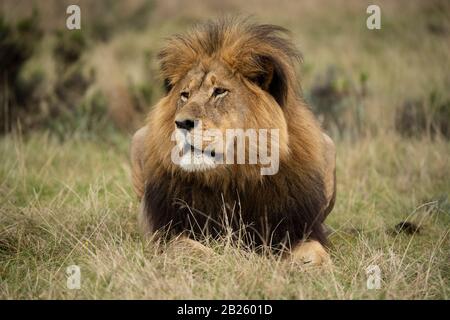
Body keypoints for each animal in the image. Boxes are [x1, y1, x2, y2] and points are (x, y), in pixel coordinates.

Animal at [129, 18, 334, 266]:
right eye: (185, 95)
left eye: (219, 92)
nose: (181, 123)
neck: (230, 178)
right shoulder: (164, 233)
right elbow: (190, 248)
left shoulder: (295, 227)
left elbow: (316, 251)